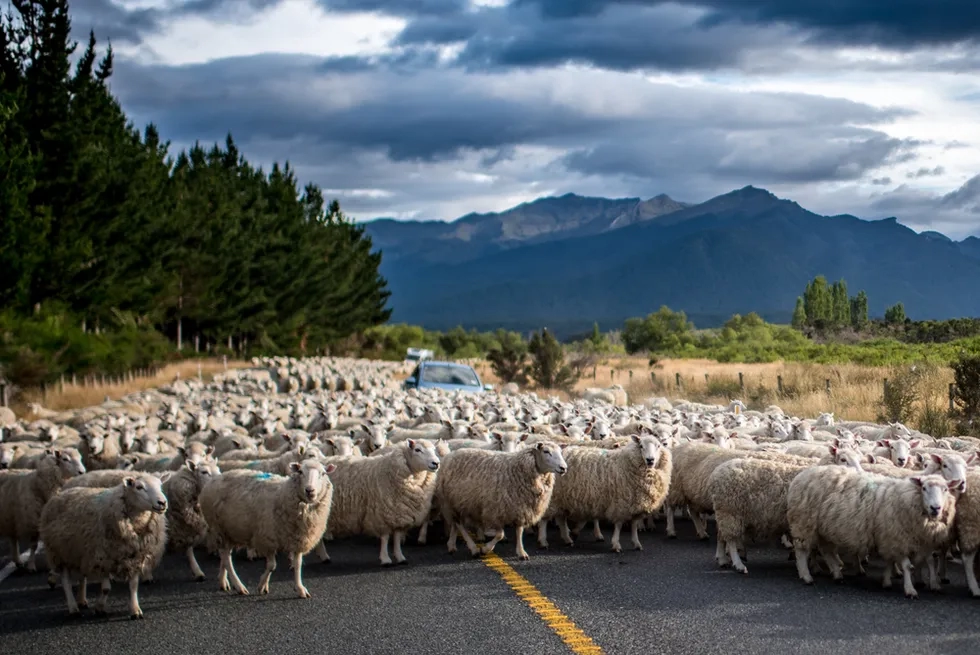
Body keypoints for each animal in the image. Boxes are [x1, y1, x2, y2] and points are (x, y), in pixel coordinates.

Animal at [39, 474, 169, 618]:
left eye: (160, 486)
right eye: (139, 487)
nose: (162, 503)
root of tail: (60, 493)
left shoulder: (135, 555)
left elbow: (134, 585)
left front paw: (135, 610)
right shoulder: (104, 557)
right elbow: (106, 589)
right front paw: (100, 608)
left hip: (80, 552)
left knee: (82, 578)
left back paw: (81, 600)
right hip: (59, 552)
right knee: (66, 582)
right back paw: (73, 608)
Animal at [198, 459, 335, 598]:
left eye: (323, 473)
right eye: (300, 472)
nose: (310, 490)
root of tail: (214, 479)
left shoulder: (298, 538)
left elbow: (298, 565)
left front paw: (300, 589)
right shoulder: (268, 538)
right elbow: (272, 566)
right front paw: (262, 585)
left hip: (230, 530)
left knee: (224, 556)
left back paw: (223, 581)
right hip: (218, 528)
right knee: (226, 558)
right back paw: (239, 586)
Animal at [436, 441, 567, 560]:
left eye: (561, 452)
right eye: (546, 451)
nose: (564, 468)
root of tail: (449, 455)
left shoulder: (520, 508)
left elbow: (519, 531)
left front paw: (521, 552)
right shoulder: (494, 511)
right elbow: (500, 534)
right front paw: (485, 549)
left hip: (460, 503)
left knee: (455, 524)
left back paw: (451, 546)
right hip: (451, 502)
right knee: (460, 525)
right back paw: (473, 549)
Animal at [537, 435, 671, 553]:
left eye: (658, 446)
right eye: (641, 446)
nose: (650, 460)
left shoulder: (634, 504)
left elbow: (633, 525)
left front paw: (636, 543)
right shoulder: (620, 503)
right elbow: (618, 525)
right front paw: (616, 544)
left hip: (562, 497)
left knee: (561, 518)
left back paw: (567, 539)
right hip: (552, 498)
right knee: (545, 519)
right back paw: (543, 541)